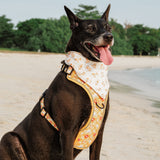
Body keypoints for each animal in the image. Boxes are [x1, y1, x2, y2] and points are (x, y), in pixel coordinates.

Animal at [0, 4, 114, 160]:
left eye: (108, 27)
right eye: (90, 28)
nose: (109, 36)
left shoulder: (99, 131)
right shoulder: (67, 132)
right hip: (9, 137)